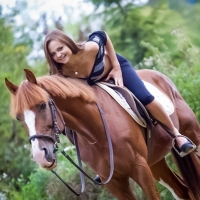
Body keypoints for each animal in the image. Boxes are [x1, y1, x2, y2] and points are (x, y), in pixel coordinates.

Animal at [4, 69, 200, 200]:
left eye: (43, 105)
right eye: (19, 117)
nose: (40, 155)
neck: (96, 132)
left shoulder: (140, 168)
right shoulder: (114, 183)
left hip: (192, 135)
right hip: (156, 163)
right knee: (182, 191)